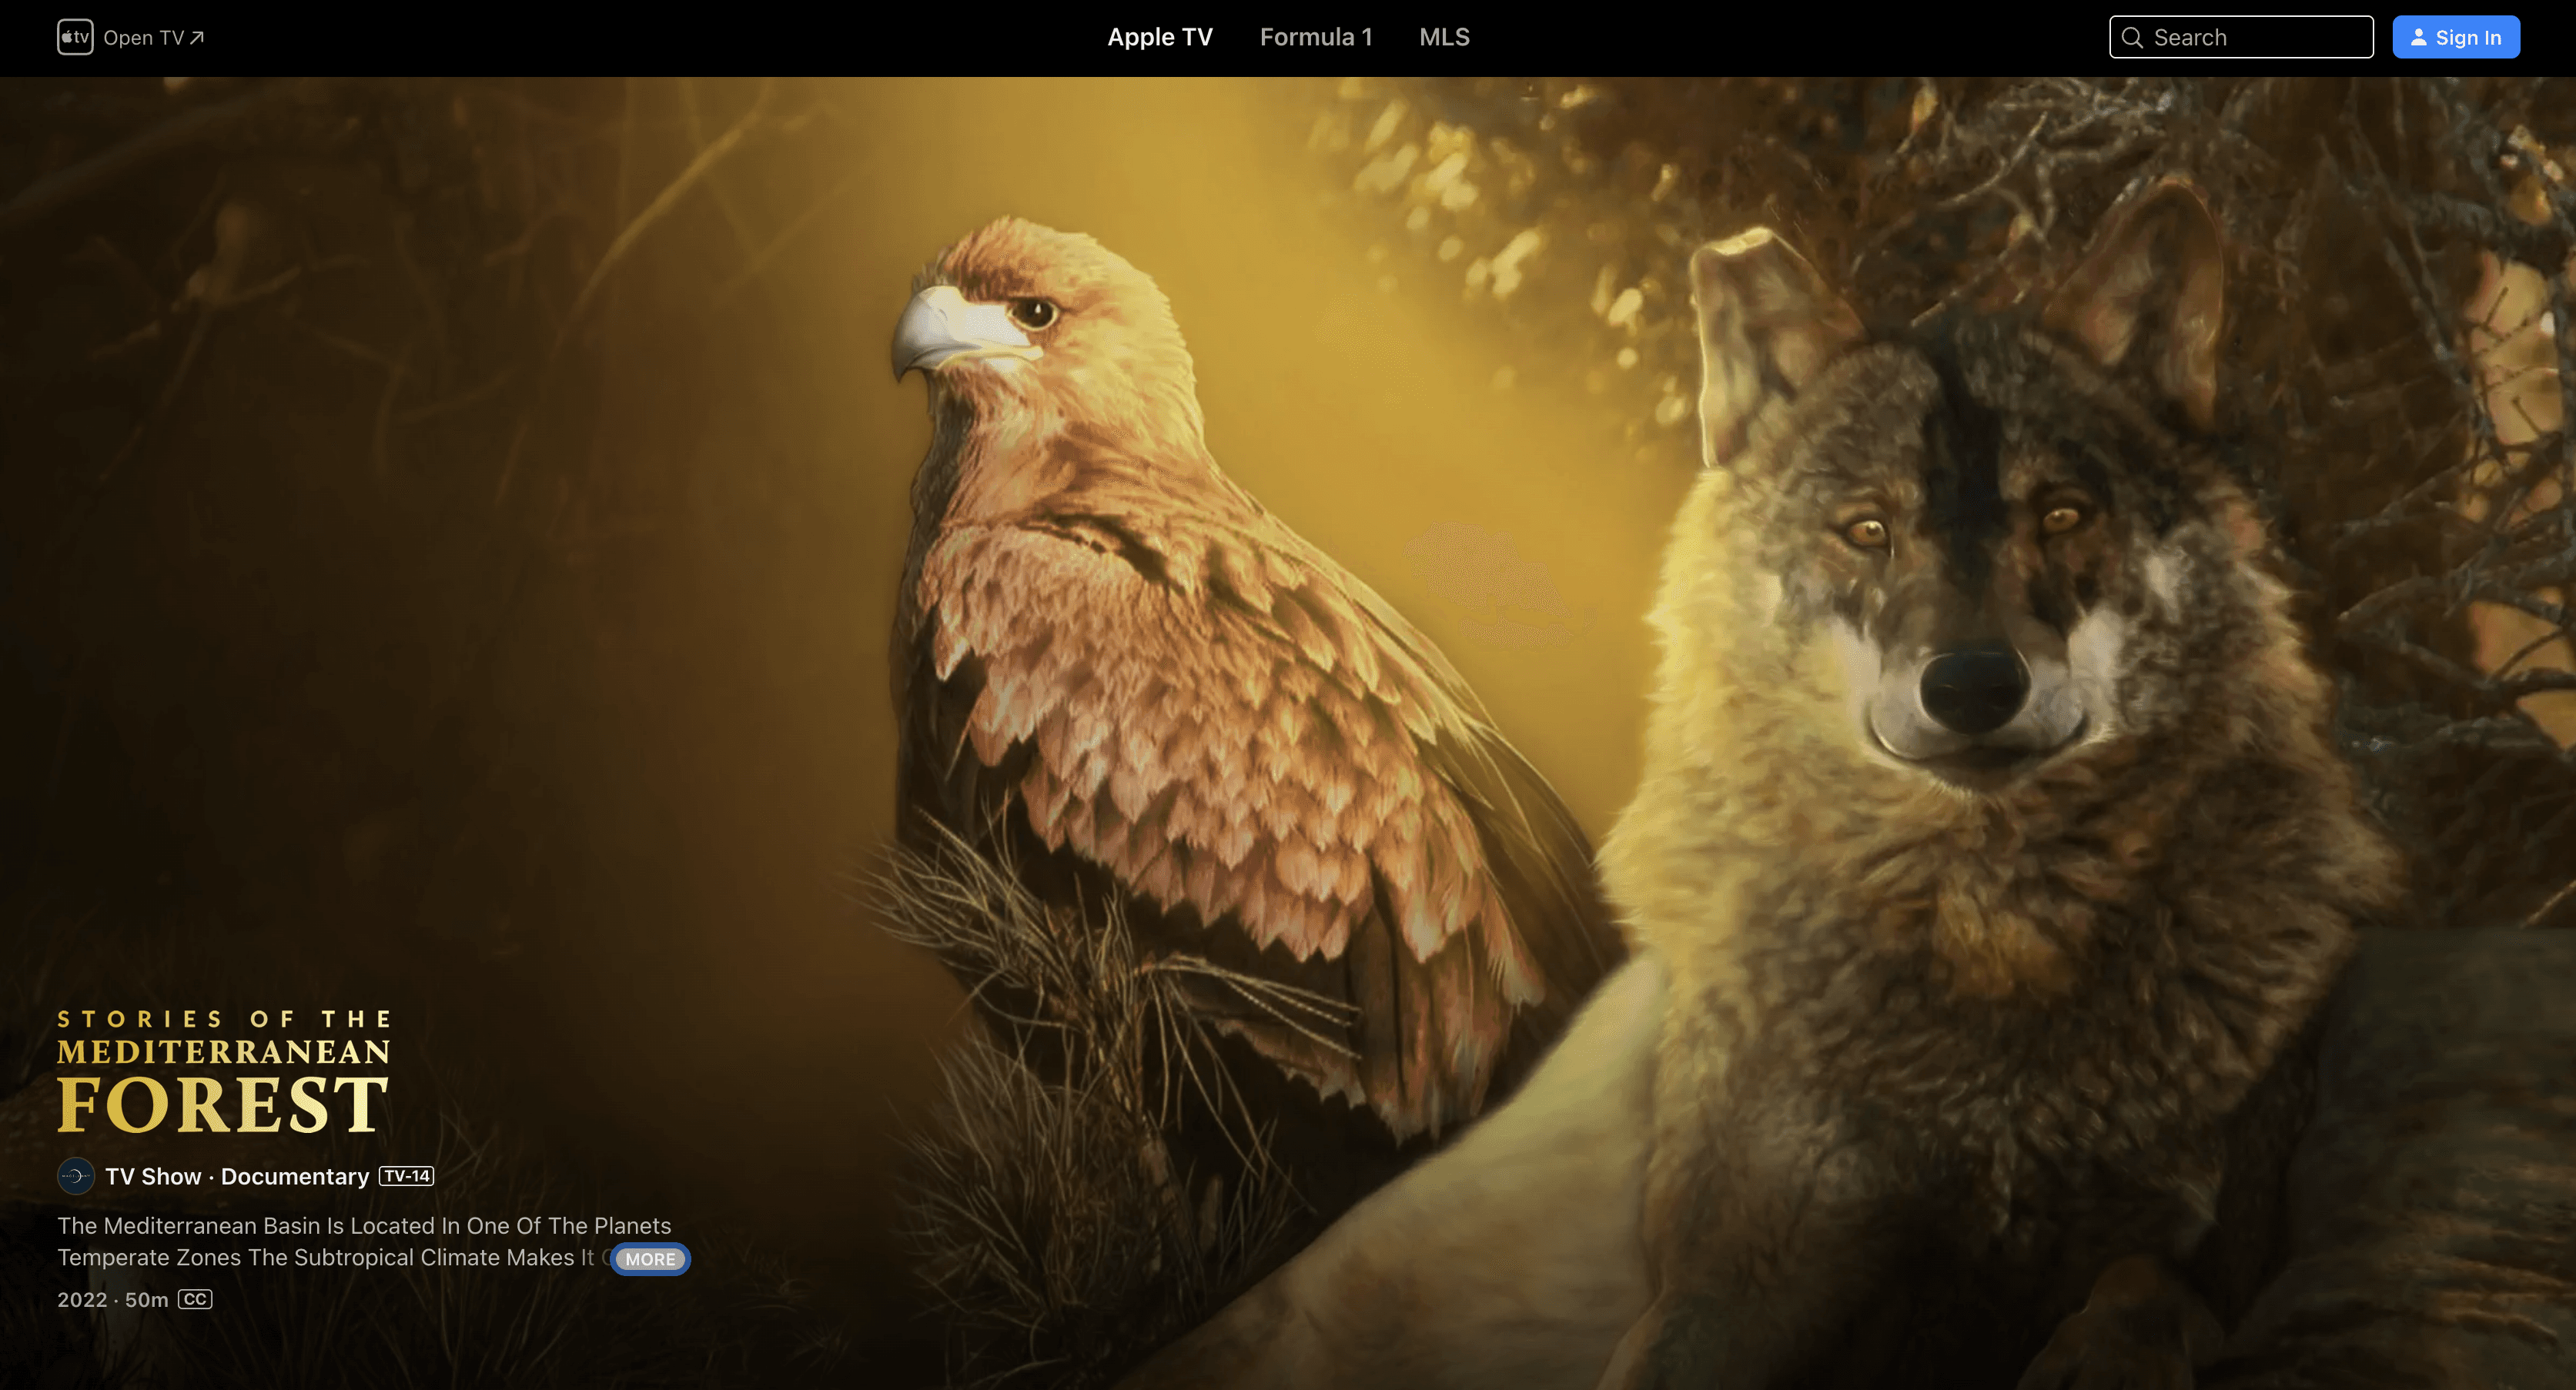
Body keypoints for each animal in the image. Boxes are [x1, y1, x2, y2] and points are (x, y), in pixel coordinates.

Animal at [1595, 180, 2404, 1389]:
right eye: (1867, 529)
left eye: (2061, 514)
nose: (1972, 684)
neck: (1987, 923)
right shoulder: (1734, 1269)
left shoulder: (2216, 1257)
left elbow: (2139, 1289)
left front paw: (2092, 1359)